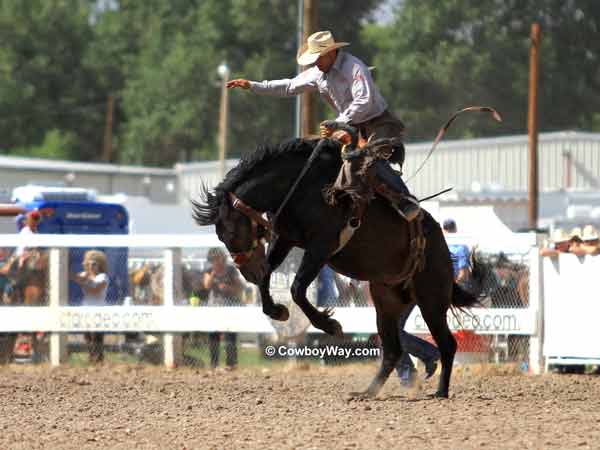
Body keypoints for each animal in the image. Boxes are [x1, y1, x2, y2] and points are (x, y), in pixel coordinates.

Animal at [193, 108, 502, 398]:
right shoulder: (285, 238)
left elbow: (297, 288)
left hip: (431, 299)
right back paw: (368, 392)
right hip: (387, 302)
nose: (245, 272)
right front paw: (278, 311)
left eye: (231, 232)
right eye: (220, 236)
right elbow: (269, 274)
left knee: (447, 343)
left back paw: (440, 391)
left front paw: (330, 325)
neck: (301, 187)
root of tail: (441, 247)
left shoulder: (321, 246)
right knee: (392, 349)